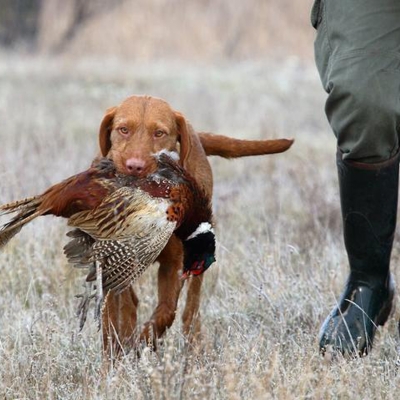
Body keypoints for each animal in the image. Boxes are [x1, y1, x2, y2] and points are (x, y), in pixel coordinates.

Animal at [96, 95, 290, 354]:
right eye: (123, 129)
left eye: (159, 133)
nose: (135, 166)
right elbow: (118, 313)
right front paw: (121, 348)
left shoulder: (176, 264)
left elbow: (166, 312)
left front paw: (144, 342)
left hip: (201, 250)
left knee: (191, 308)